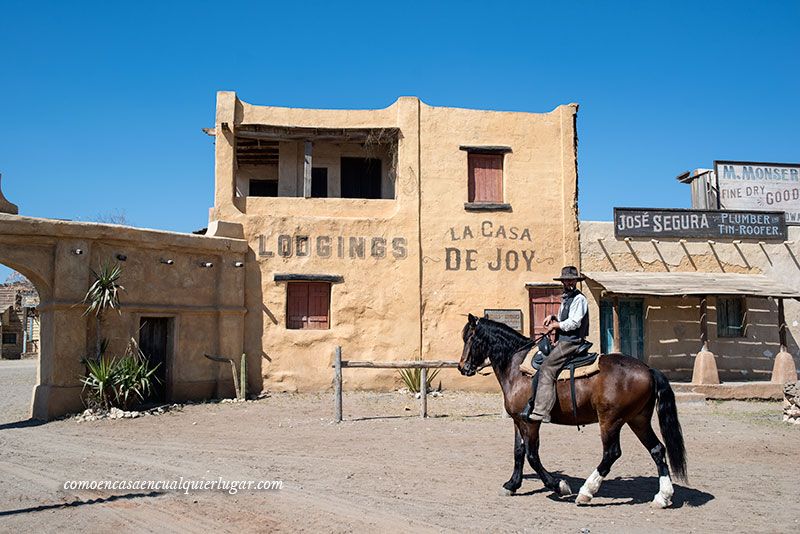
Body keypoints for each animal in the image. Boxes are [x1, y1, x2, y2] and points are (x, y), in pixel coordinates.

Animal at [456, 316, 688, 508]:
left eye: (471, 338)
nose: (462, 367)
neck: (516, 366)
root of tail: (649, 369)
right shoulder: (518, 420)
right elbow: (518, 452)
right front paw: (512, 484)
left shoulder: (531, 421)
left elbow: (532, 455)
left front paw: (558, 485)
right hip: (638, 420)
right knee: (657, 449)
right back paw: (662, 497)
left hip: (610, 421)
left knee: (611, 453)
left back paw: (586, 492)